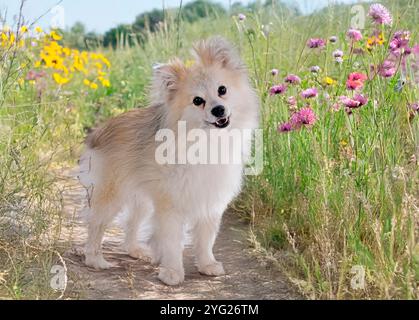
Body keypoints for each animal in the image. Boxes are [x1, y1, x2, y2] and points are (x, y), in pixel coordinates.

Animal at [79, 37, 260, 284]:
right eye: (197, 101)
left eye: (222, 90)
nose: (218, 109)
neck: (206, 139)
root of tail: (100, 130)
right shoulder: (171, 205)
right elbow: (173, 242)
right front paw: (173, 272)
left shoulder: (210, 201)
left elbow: (206, 238)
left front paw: (207, 264)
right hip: (113, 194)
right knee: (96, 225)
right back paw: (95, 259)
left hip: (142, 199)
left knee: (131, 224)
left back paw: (136, 251)